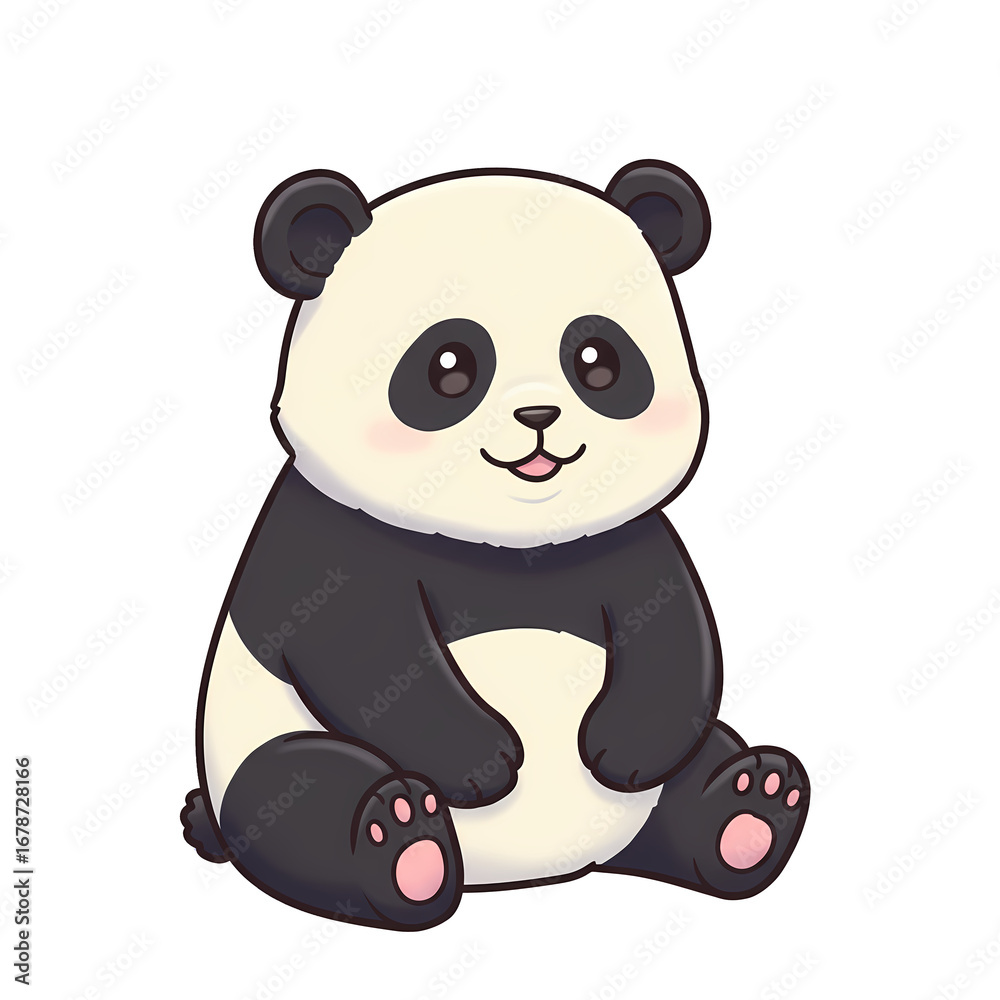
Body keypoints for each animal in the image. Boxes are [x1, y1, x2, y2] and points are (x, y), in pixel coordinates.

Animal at [181, 161, 809, 930]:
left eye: (598, 359)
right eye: (450, 364)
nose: (539, 414)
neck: (505, 545)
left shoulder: (622, 541)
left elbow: (671, 634)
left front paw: (626, 748)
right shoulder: (330, 535)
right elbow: (361, 648)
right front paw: (482, 763)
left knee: (696, 769)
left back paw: (749, 807)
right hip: (257, 746)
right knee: (296, 788)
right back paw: (402, 843)